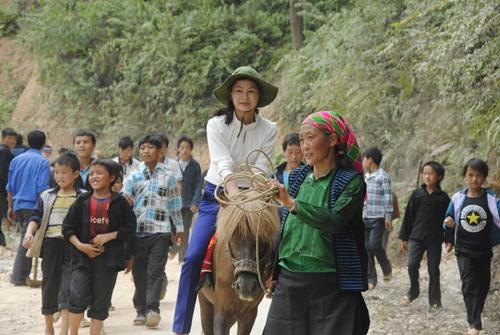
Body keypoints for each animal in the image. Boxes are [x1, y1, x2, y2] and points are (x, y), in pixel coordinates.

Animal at [197, 192, 280, 335]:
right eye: (232, 235)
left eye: (262, 236)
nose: (246, 286)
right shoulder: (221, 309)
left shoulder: (249, 313)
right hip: (205, 302)